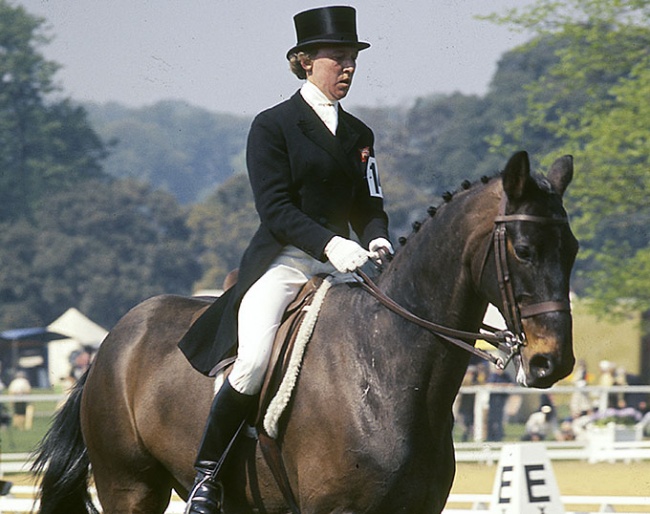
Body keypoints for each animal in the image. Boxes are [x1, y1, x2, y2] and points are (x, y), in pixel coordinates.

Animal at [31, 150, 576, 510]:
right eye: (524, 250)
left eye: (571, 249)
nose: (553, 362)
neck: (386, 368)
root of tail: (114, 340)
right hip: (129, 485)